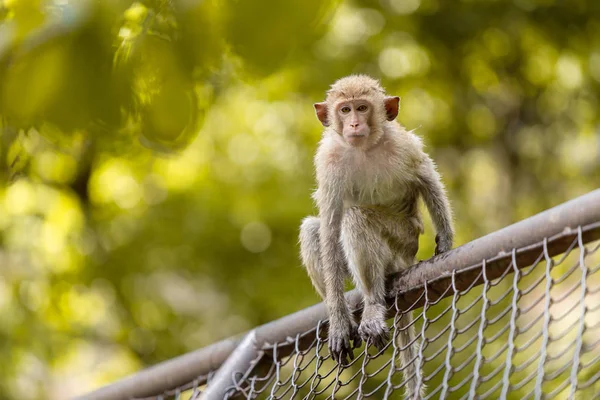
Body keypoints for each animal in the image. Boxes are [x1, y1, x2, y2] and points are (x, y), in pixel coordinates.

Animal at [298, 74, 452, 396]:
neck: (363, 149)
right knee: (313, 230)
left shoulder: (403, 145)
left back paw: (372, 306)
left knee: (357, 219)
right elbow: (329, 229)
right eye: (345, 110)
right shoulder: (328, 161)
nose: (355, 123)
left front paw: (445, 239)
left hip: (403, 242)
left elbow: (426, 176)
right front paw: (339, 322)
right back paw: (347, 310)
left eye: (362, 107)